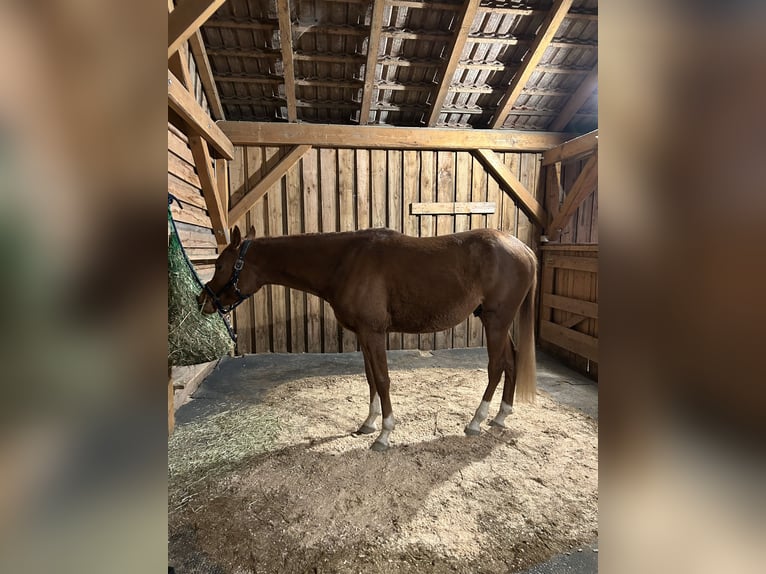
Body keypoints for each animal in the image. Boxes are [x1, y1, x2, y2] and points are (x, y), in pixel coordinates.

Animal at [198, 225, 538, 451]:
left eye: (220, 264)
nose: (203, 300)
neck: (345, 261)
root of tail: (524, 250)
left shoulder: (374, 333)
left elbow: (383, 379)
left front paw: (385, 434)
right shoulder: (364, 334)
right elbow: (370, 377)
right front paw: (369, 423)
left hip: (496, 321)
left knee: (496, 366)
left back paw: (477, 421)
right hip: (498, 323)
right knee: (511, 361)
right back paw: (501, 416)